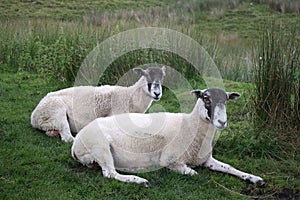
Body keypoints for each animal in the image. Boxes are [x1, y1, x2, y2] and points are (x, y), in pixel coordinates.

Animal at [30, 66, 166, 143]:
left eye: (163, 78)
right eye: (146, 76)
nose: (157, 93)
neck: (130, 96)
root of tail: (34, 116)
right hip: (56, 110)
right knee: (67, 137)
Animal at [71, 88, 264, 187]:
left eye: (226, 100)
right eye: (206, 98)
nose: (222, 122)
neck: (190, 127)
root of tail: (74, 146)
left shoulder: (206, 159)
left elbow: (230, 167)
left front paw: (255, 178)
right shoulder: (172, 161)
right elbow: (193, 173)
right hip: (100, 146)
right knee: (110, 173)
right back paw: (139, 180)